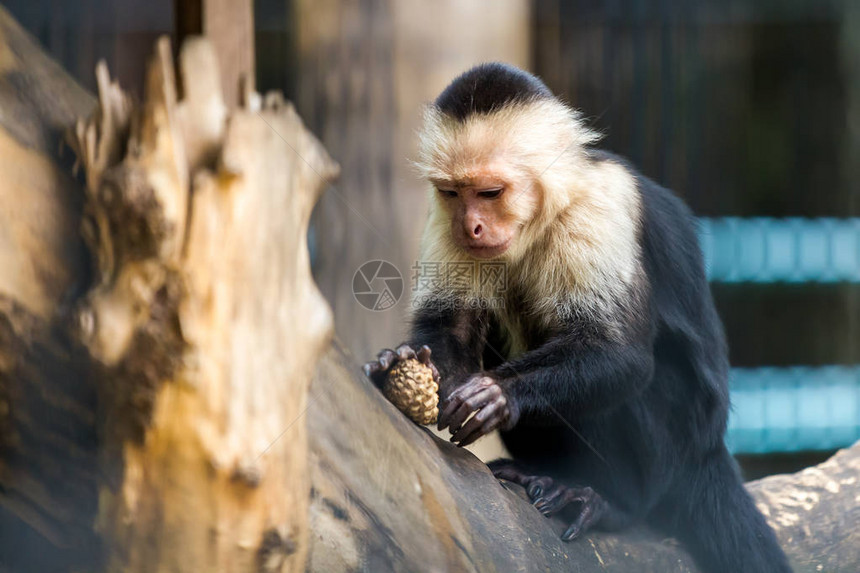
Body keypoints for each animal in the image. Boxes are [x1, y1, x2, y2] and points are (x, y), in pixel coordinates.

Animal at [362, 63, 792, 572]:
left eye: (490, 192)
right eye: (452, 193)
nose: (471, 226)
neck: (544, 214)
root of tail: (707, 454)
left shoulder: (599, 211)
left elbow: (618, 353)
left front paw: (499, 393)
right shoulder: (443, 221)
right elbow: (451, 329)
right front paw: (402, 365)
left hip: (674, 457)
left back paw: (611, 502)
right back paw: (539, 474)